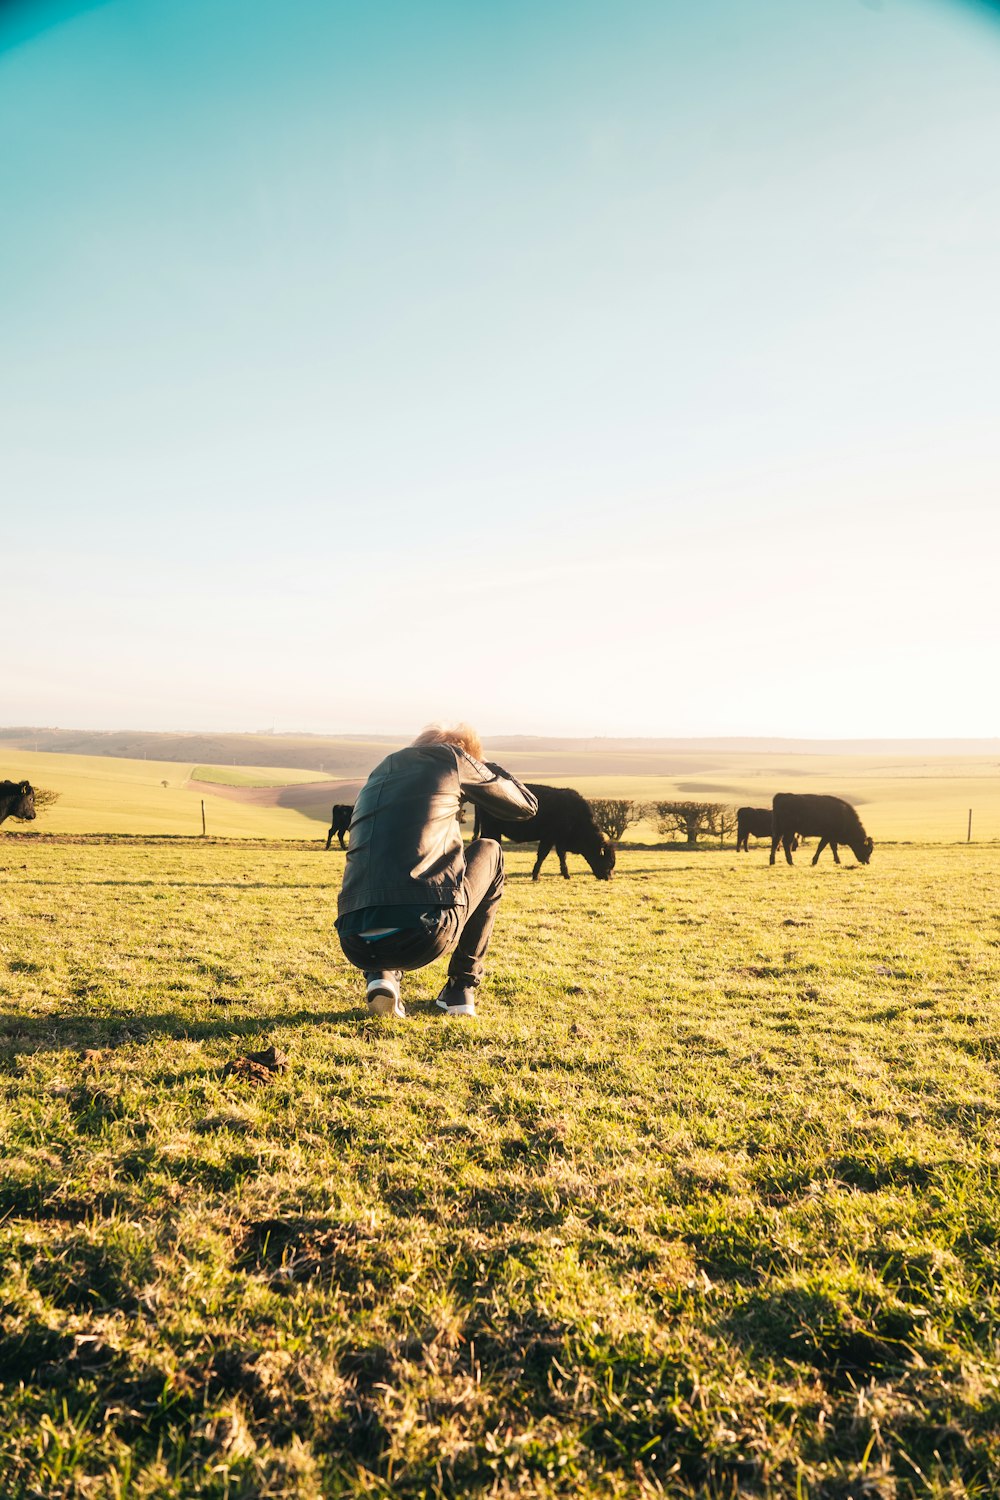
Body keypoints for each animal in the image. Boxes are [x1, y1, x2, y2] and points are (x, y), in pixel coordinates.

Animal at [473, 786, 614, 876]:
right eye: (608, 860)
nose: (608, 877)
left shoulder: (557, 841)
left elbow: (560, 856)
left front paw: (564, 873)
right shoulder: (550, 838)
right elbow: (543, 855)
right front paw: (536, 875)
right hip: (493, 831)